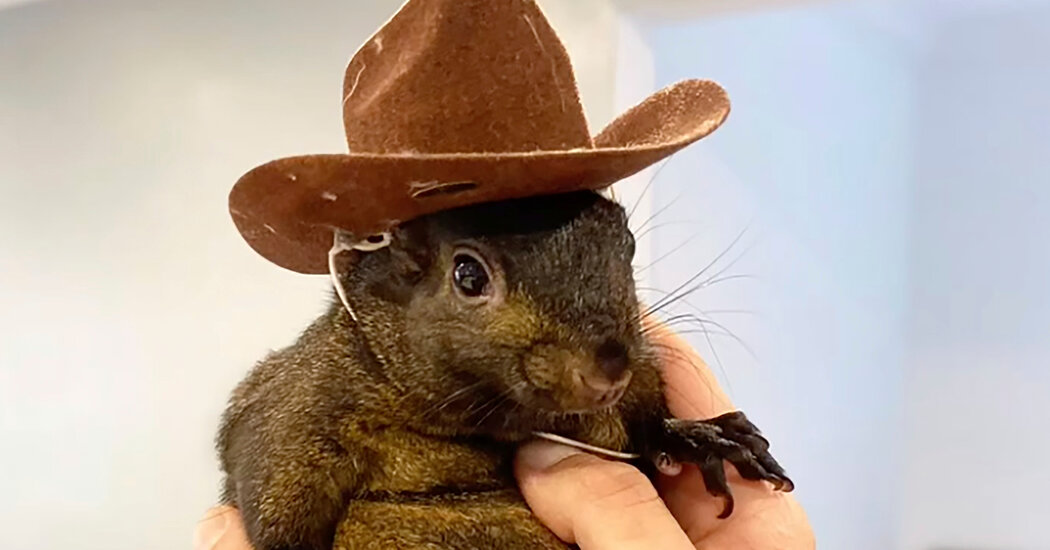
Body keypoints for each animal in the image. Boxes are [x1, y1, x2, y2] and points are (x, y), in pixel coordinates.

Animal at [216, 190, 793, 550]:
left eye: (627, 246)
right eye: (468, 275)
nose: (609, 369)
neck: (488, 418)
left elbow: (645, 426)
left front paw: (701, 437)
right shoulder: (295, 418)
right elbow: (275, 514)